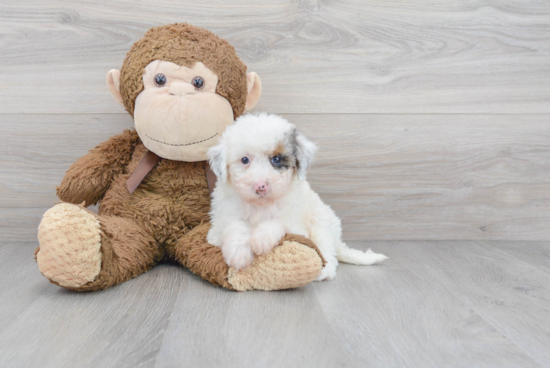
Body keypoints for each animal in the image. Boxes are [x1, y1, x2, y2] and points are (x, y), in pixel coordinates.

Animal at [207, 113, 388, 280]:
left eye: (276, 159)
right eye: (244, 160)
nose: (260, 186)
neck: (260, 205)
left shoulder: (294, 222)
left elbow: (278, 222)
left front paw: (262, 238)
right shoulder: (224, 216)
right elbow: (235, 225)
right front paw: (238, 253)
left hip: (321, 223)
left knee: (327, 252)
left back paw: (324, 272)